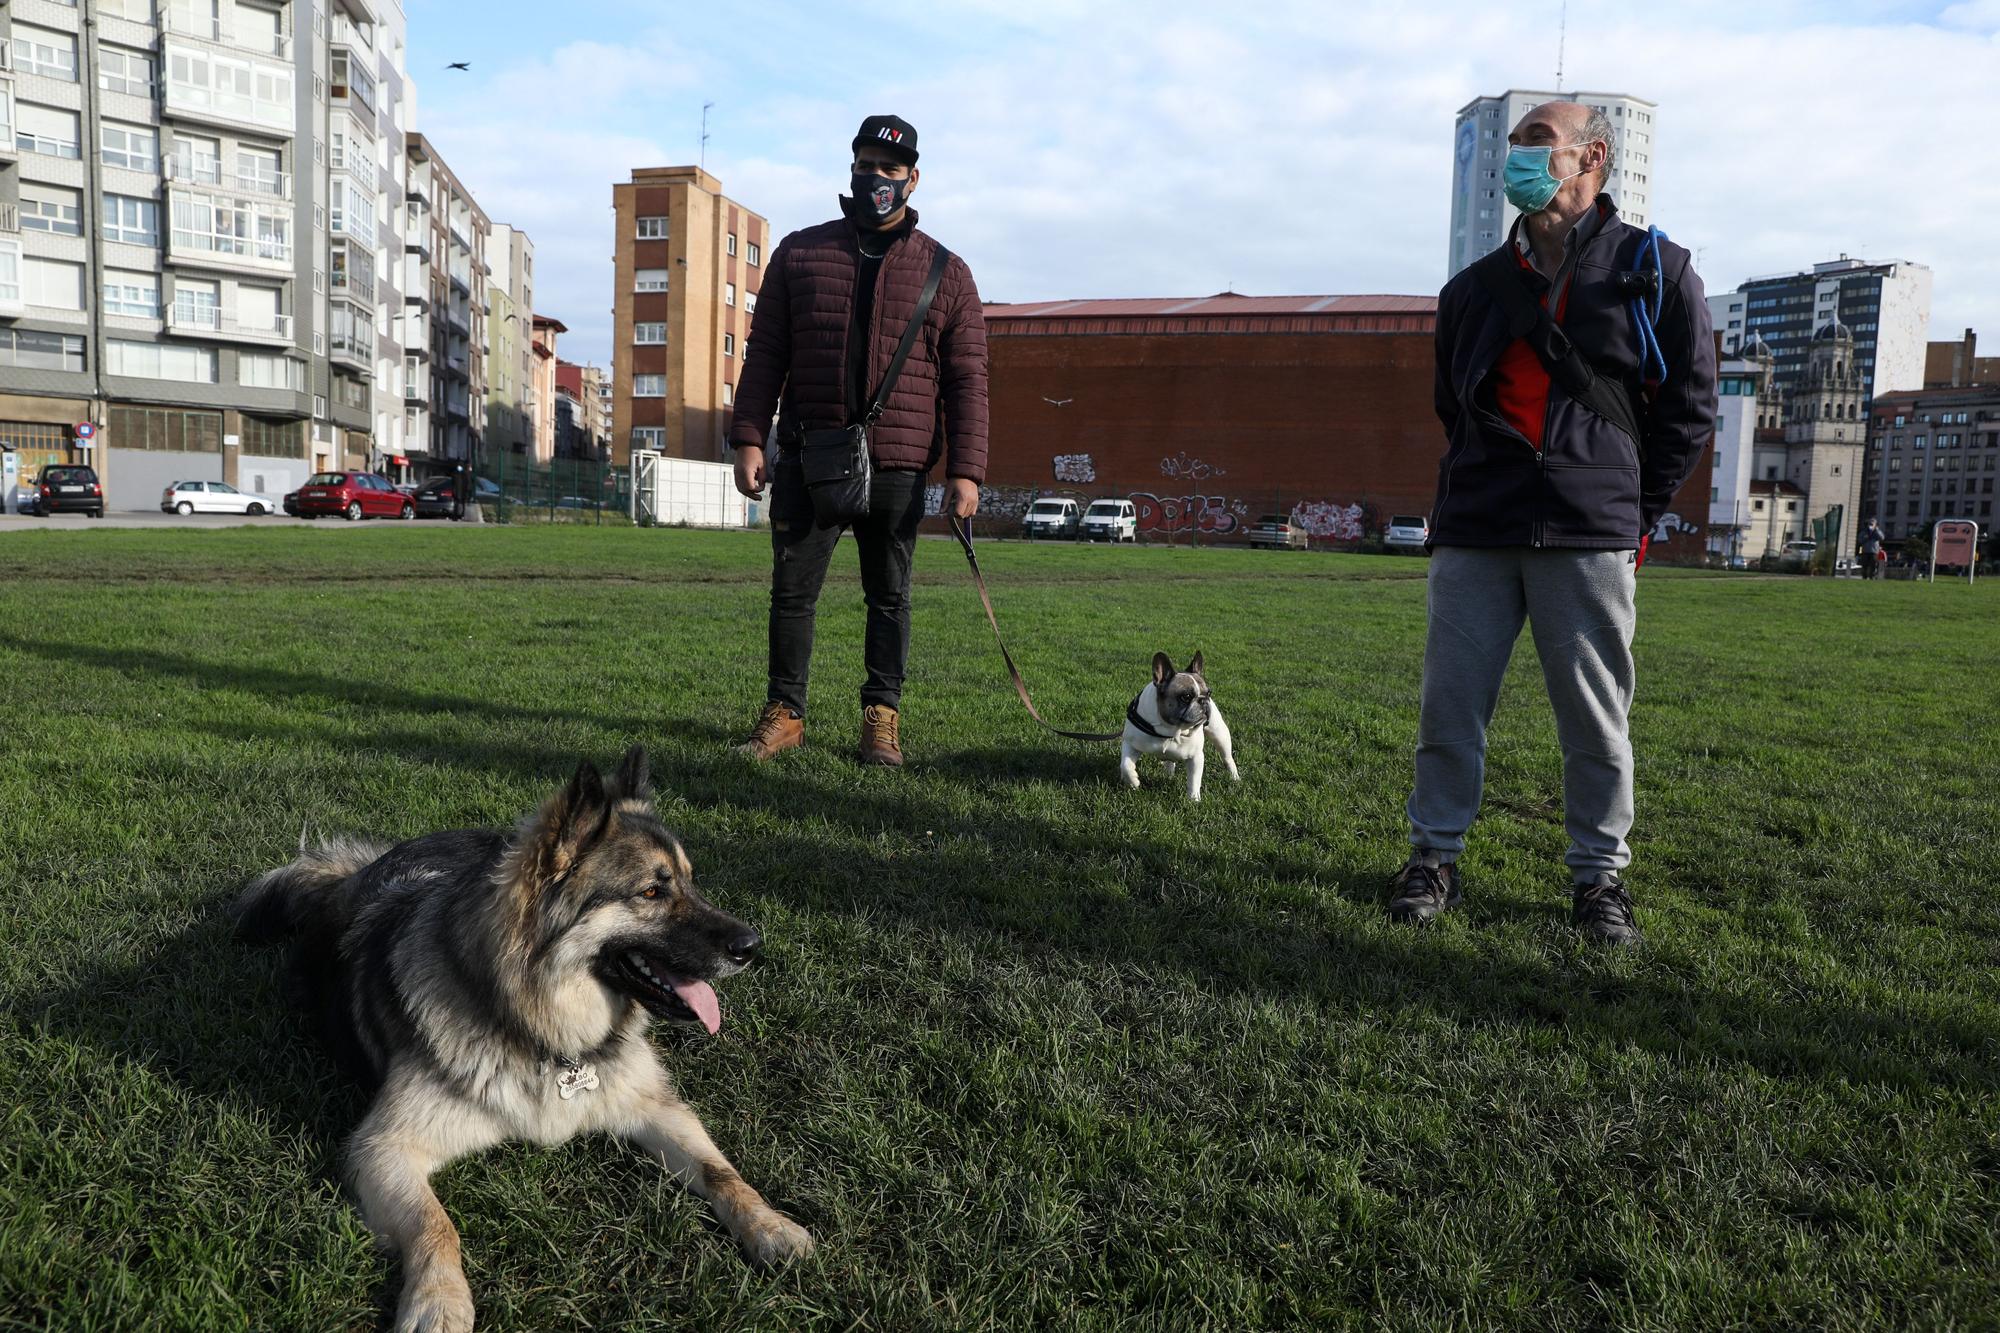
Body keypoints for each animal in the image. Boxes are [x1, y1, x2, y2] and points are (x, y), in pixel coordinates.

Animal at [240, 748, 812, 1328]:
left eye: (692, 883)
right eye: (653, 891)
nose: (752, 945)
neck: (539, 1030)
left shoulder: (656, 1106)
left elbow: (721, 1172)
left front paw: (772, 1227)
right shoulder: (383, 1148)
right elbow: (435, 1223)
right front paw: (438, 1302)